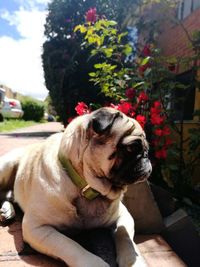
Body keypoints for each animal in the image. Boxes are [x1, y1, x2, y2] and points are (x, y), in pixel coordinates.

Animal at [0, 108, 152, 266]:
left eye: (146, 148)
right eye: (131, 148)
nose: (147, 155)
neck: (87, 188)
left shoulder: (124, 215)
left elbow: (126, 237)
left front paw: (134, 261)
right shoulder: (36, 227)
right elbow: (69, 245)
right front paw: (94, 263)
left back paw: (7, 210)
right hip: (6, 166)